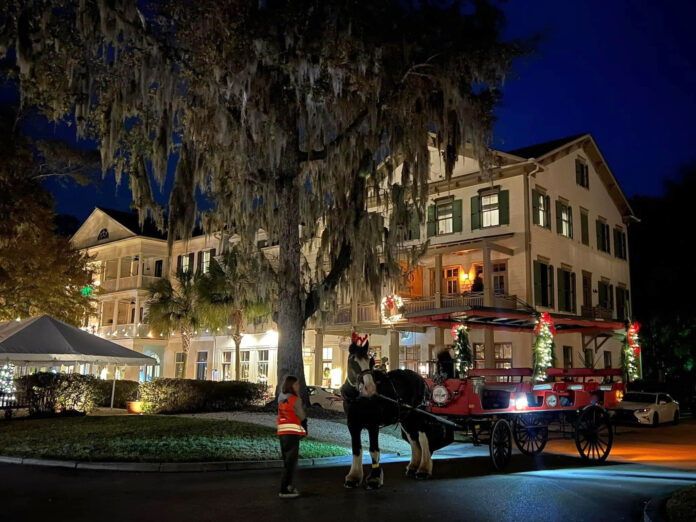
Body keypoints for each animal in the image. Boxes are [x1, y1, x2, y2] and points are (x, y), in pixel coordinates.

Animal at [340, 338, 448, 488]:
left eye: (371, 362)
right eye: (353, 361)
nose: (370, 388)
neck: (357, 398)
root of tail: (421, 378)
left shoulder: (373, 424)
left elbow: (374, 450)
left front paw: (375, 478)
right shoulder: (352, 425)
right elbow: (356, 449)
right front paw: (354, 477)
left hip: (419, 415)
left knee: (423, 438)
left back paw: (424, 469)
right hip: (406, 419)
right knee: (413, 439)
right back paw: (413, 466)